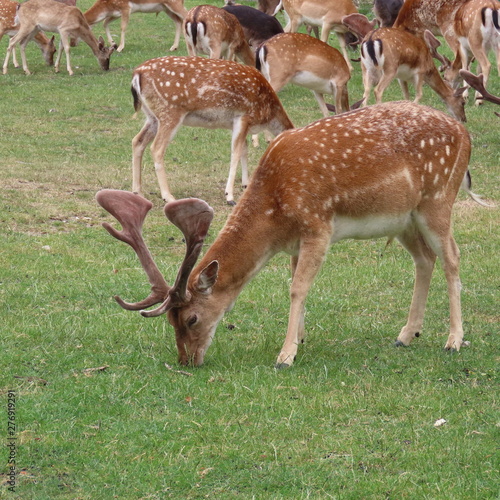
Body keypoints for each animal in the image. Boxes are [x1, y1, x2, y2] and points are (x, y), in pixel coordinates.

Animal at [96, 100, 488, 368]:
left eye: (191, 318)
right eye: (171, 321)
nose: (186, 360)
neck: (276, 215)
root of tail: (465, 135)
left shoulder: (318, 225)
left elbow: (297, 287)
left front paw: (285, 355)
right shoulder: (297, 242)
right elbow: (296, 282)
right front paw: (299, 337)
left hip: (437, 200)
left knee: (452, 256)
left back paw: (454, 339)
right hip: (403, 219)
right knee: (425, 258)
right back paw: (406, 334)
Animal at [129, 57, 292, 206]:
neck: (268, 114)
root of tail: (137, 74)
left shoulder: (236, 124)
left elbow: (244, 150)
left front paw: (245, 184)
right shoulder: (244, 117)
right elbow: (236, 152)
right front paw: (229, 196)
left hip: (152, 116)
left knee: (137, 141)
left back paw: (137, 192)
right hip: (170, 111)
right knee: (156, 148)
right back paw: (168, 197)